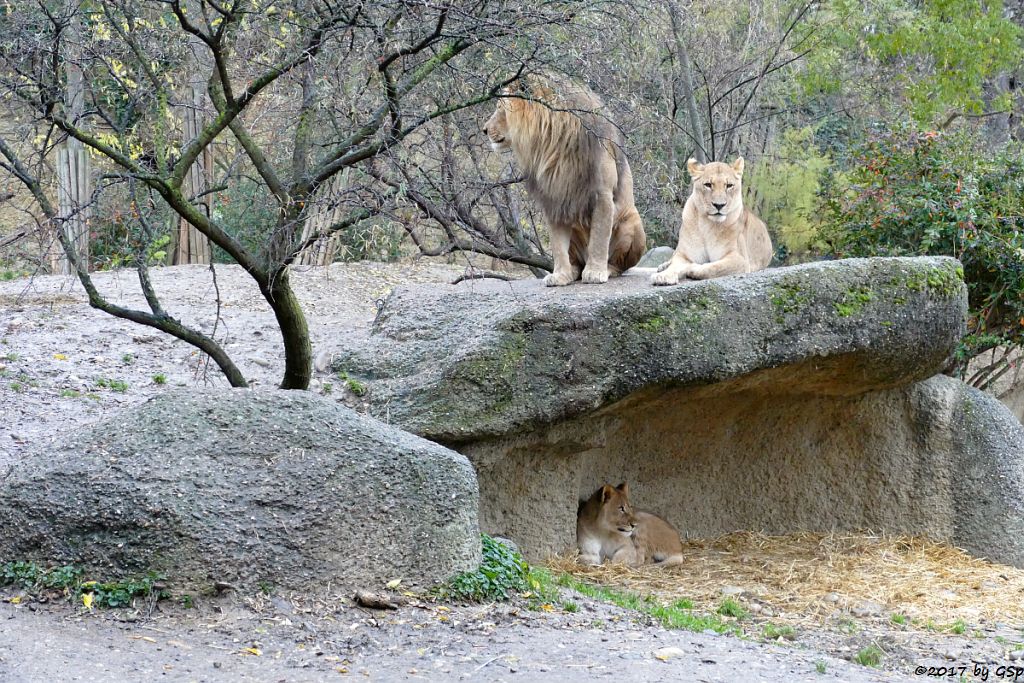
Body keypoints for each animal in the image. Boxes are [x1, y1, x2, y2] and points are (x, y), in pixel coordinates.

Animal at [483, 74, 643, 286]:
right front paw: (559, 275)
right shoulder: (554, 196)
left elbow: (599, 238)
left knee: (618, 264)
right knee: (575, 260)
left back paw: (606, 269)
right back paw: (573, 271)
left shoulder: (603, 194)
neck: (550, 138)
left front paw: (595, 272)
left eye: (500, 107)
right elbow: (558, 245)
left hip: (633, 223)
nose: (484, 130)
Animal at [651, 157, 770, 286]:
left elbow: (714, 267)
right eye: (708, 185)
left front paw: (692, 268)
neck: (707, 224)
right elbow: (675, 265)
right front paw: (663, 276)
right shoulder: (686, 255)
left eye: (729, 185)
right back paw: (663, 266)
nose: (719, 205)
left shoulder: (740, 259)